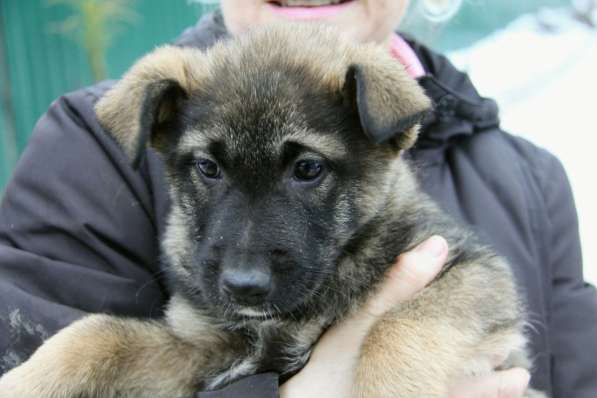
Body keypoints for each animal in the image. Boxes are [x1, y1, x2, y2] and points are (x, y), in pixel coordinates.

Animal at [0, 24, 544, 398]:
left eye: (308, 168)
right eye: (208, 167)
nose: (244, 287)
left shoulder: (476, 274)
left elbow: (395, 329)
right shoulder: (204, 351)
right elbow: (98, 333)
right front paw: (24, 381)